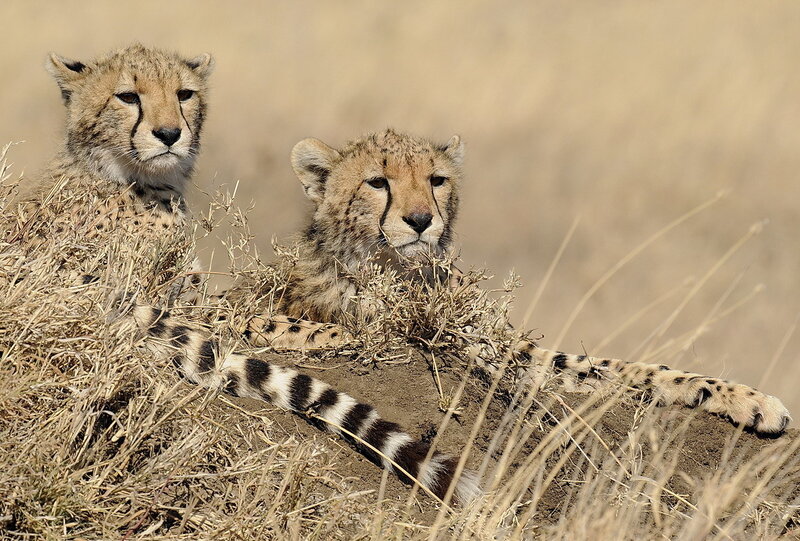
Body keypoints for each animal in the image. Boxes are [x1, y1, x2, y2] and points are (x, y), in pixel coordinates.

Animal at [2, 47, 480, 505]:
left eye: (184, 95)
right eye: (127, 96)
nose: (170, 134)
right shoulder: (168, 300)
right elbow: (257, 318)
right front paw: (336, 333)